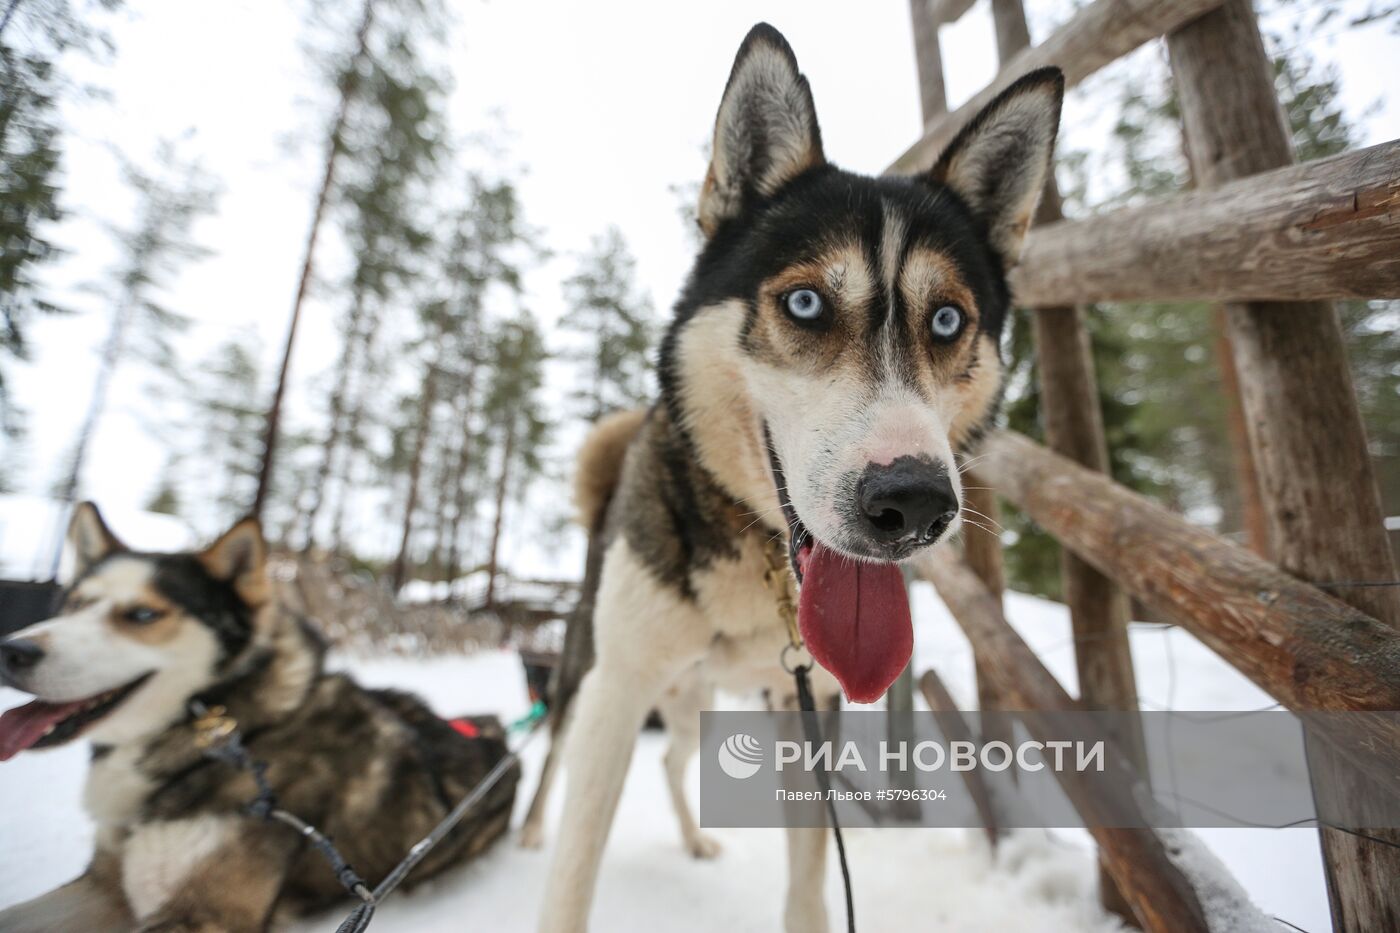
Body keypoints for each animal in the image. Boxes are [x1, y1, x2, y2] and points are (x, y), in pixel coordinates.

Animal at [0, 504, 520, 924]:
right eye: (76, 604)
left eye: (144, 615)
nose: (13, 651)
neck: (230, 738)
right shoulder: (103, 883)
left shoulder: (208, 915)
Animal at [537, 21, 1058, 930]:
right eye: (807, 303)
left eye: (947, 319)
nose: (911, 502)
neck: (761, 574)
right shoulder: (616, 689)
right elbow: (571, 878)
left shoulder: (803, 708)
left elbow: (811, 877)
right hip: (588, 678)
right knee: (549, 765)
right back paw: (526, 833)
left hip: (692, 704)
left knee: (672, 761)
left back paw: (696, 840)